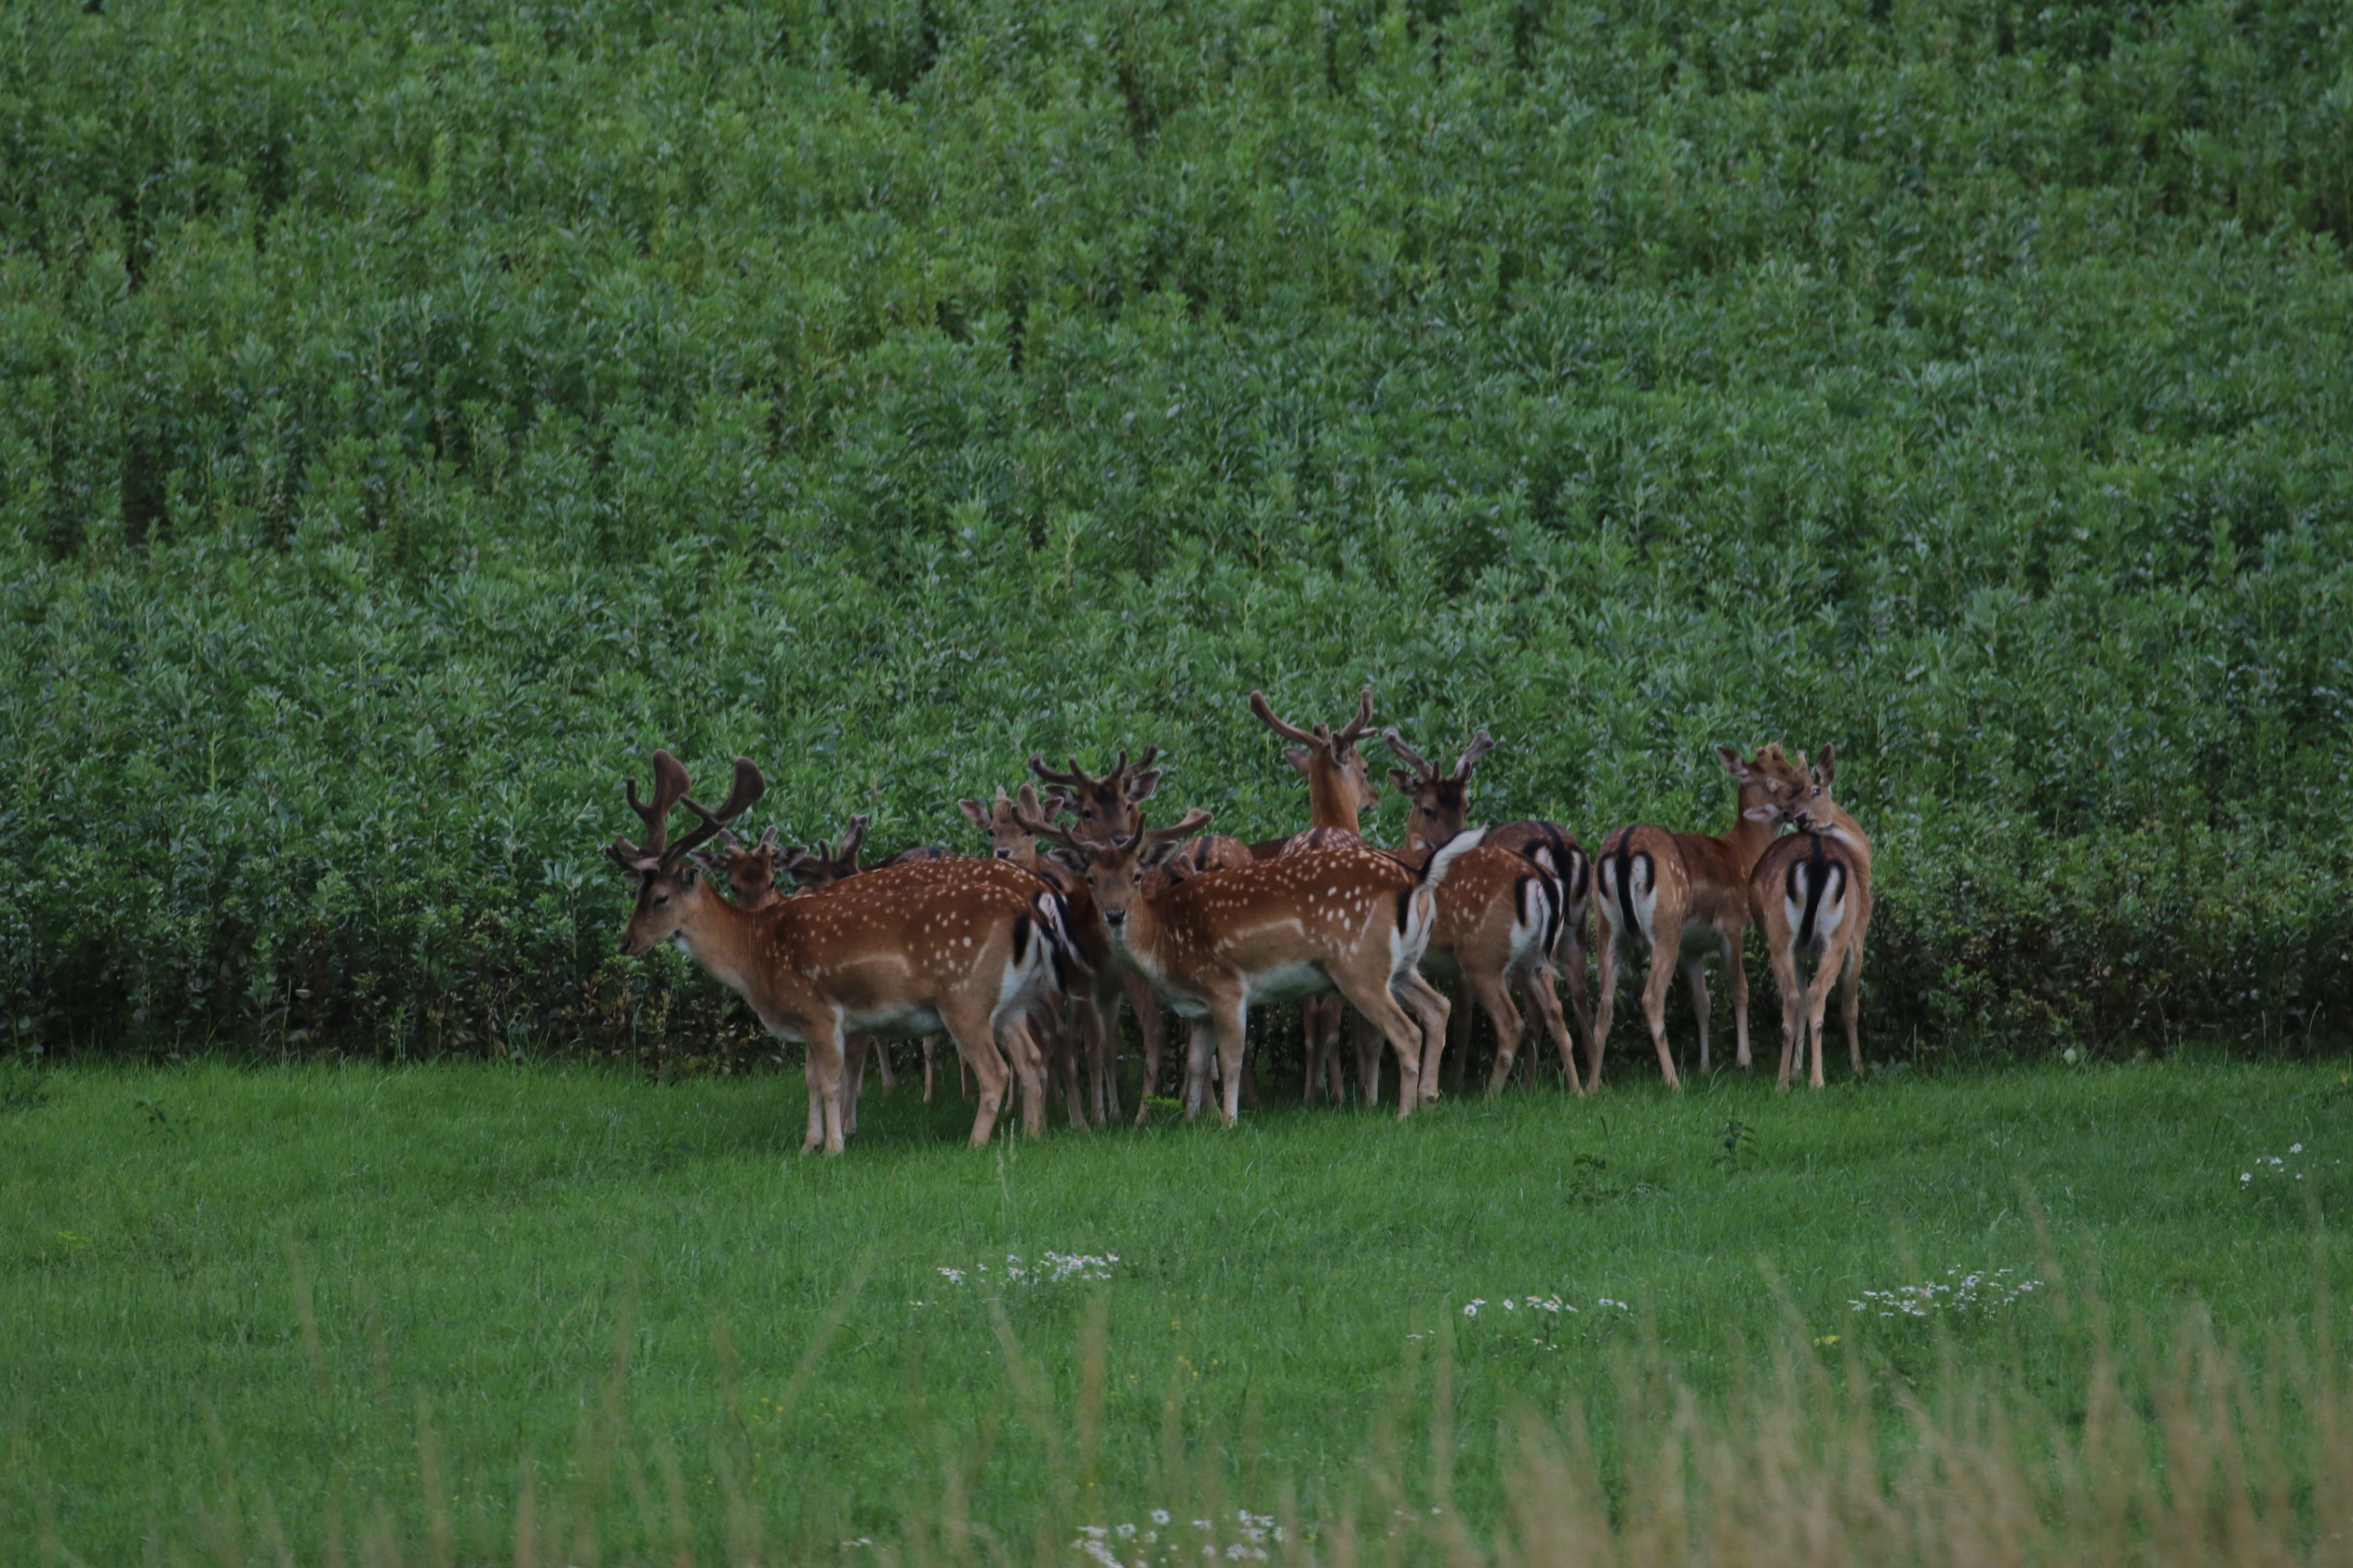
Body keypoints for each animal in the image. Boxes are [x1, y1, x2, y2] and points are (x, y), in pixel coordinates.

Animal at [608, 751, 1069, 1152]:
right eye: (636, 893)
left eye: (661, 898)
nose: (625, 942)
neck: (755, 954)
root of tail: (1033, 909)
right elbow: (811, 1079)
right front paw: (807, 1145)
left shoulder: (819, 1011)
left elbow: (830, 1079)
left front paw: (834, 1146)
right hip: (1013, 1002)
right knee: (1030, 1058)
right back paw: (1034, 1134)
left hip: (965, 998)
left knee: (996, 1070)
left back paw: (976, 1144)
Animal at [1014, 798, 1482, 1125]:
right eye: (1092, 879)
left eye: (1135, 876)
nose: (1114, 914)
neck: (1165, 943)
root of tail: (1418, 877)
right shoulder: (1199, 1006)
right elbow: (1197, 1062)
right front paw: (1190, 1122)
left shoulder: (1226, 988)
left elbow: (1232, 1058)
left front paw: (1228, 1122)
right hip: (1402, 966)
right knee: (1437, 1008)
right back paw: (1430, 1101)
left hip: (1359, 967)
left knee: (1405, 1030)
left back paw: (1403, 1114)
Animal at [1381, 727, 1587, 1097]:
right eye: (1428, 809)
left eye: (1466, 805)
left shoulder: (1451, 964)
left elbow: (1458, 1015)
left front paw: (1453, 1081)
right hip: (1544, 952)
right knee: (1562, 1007)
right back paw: (1579, 1089)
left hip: (1482, 954)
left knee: (1513, 1021)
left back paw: (1492, 1095)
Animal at [1589, 744, 1808, 1089]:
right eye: (1778, 777)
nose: (1799, 804)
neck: (1743, 856)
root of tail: (1623, 849)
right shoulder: (1732, 924)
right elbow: (1739, 988)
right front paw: (1743, 1060)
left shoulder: (1692, 947)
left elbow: (1702, 1002)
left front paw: (1705, 1067)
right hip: (1665, 926)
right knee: (1651, 999)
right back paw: (1672, 1081)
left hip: (1607, 927)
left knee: (1605, 1004)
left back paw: (1591, 1086)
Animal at [1746, 745, 1873, 1090]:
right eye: (1791, 805)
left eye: (1815, 791)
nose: (1802, 818)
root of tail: (1816, 859)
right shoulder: (1857, 937)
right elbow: (1850, 1005)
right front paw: (1858, 1067)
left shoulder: (1804, 948)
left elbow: (1803, 1003)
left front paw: (1797, 1069)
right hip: (1827, 936)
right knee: (1814, 996)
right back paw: (1811, 1081)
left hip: (1786, 938)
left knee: (1796, 998)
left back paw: (1788, 1081)